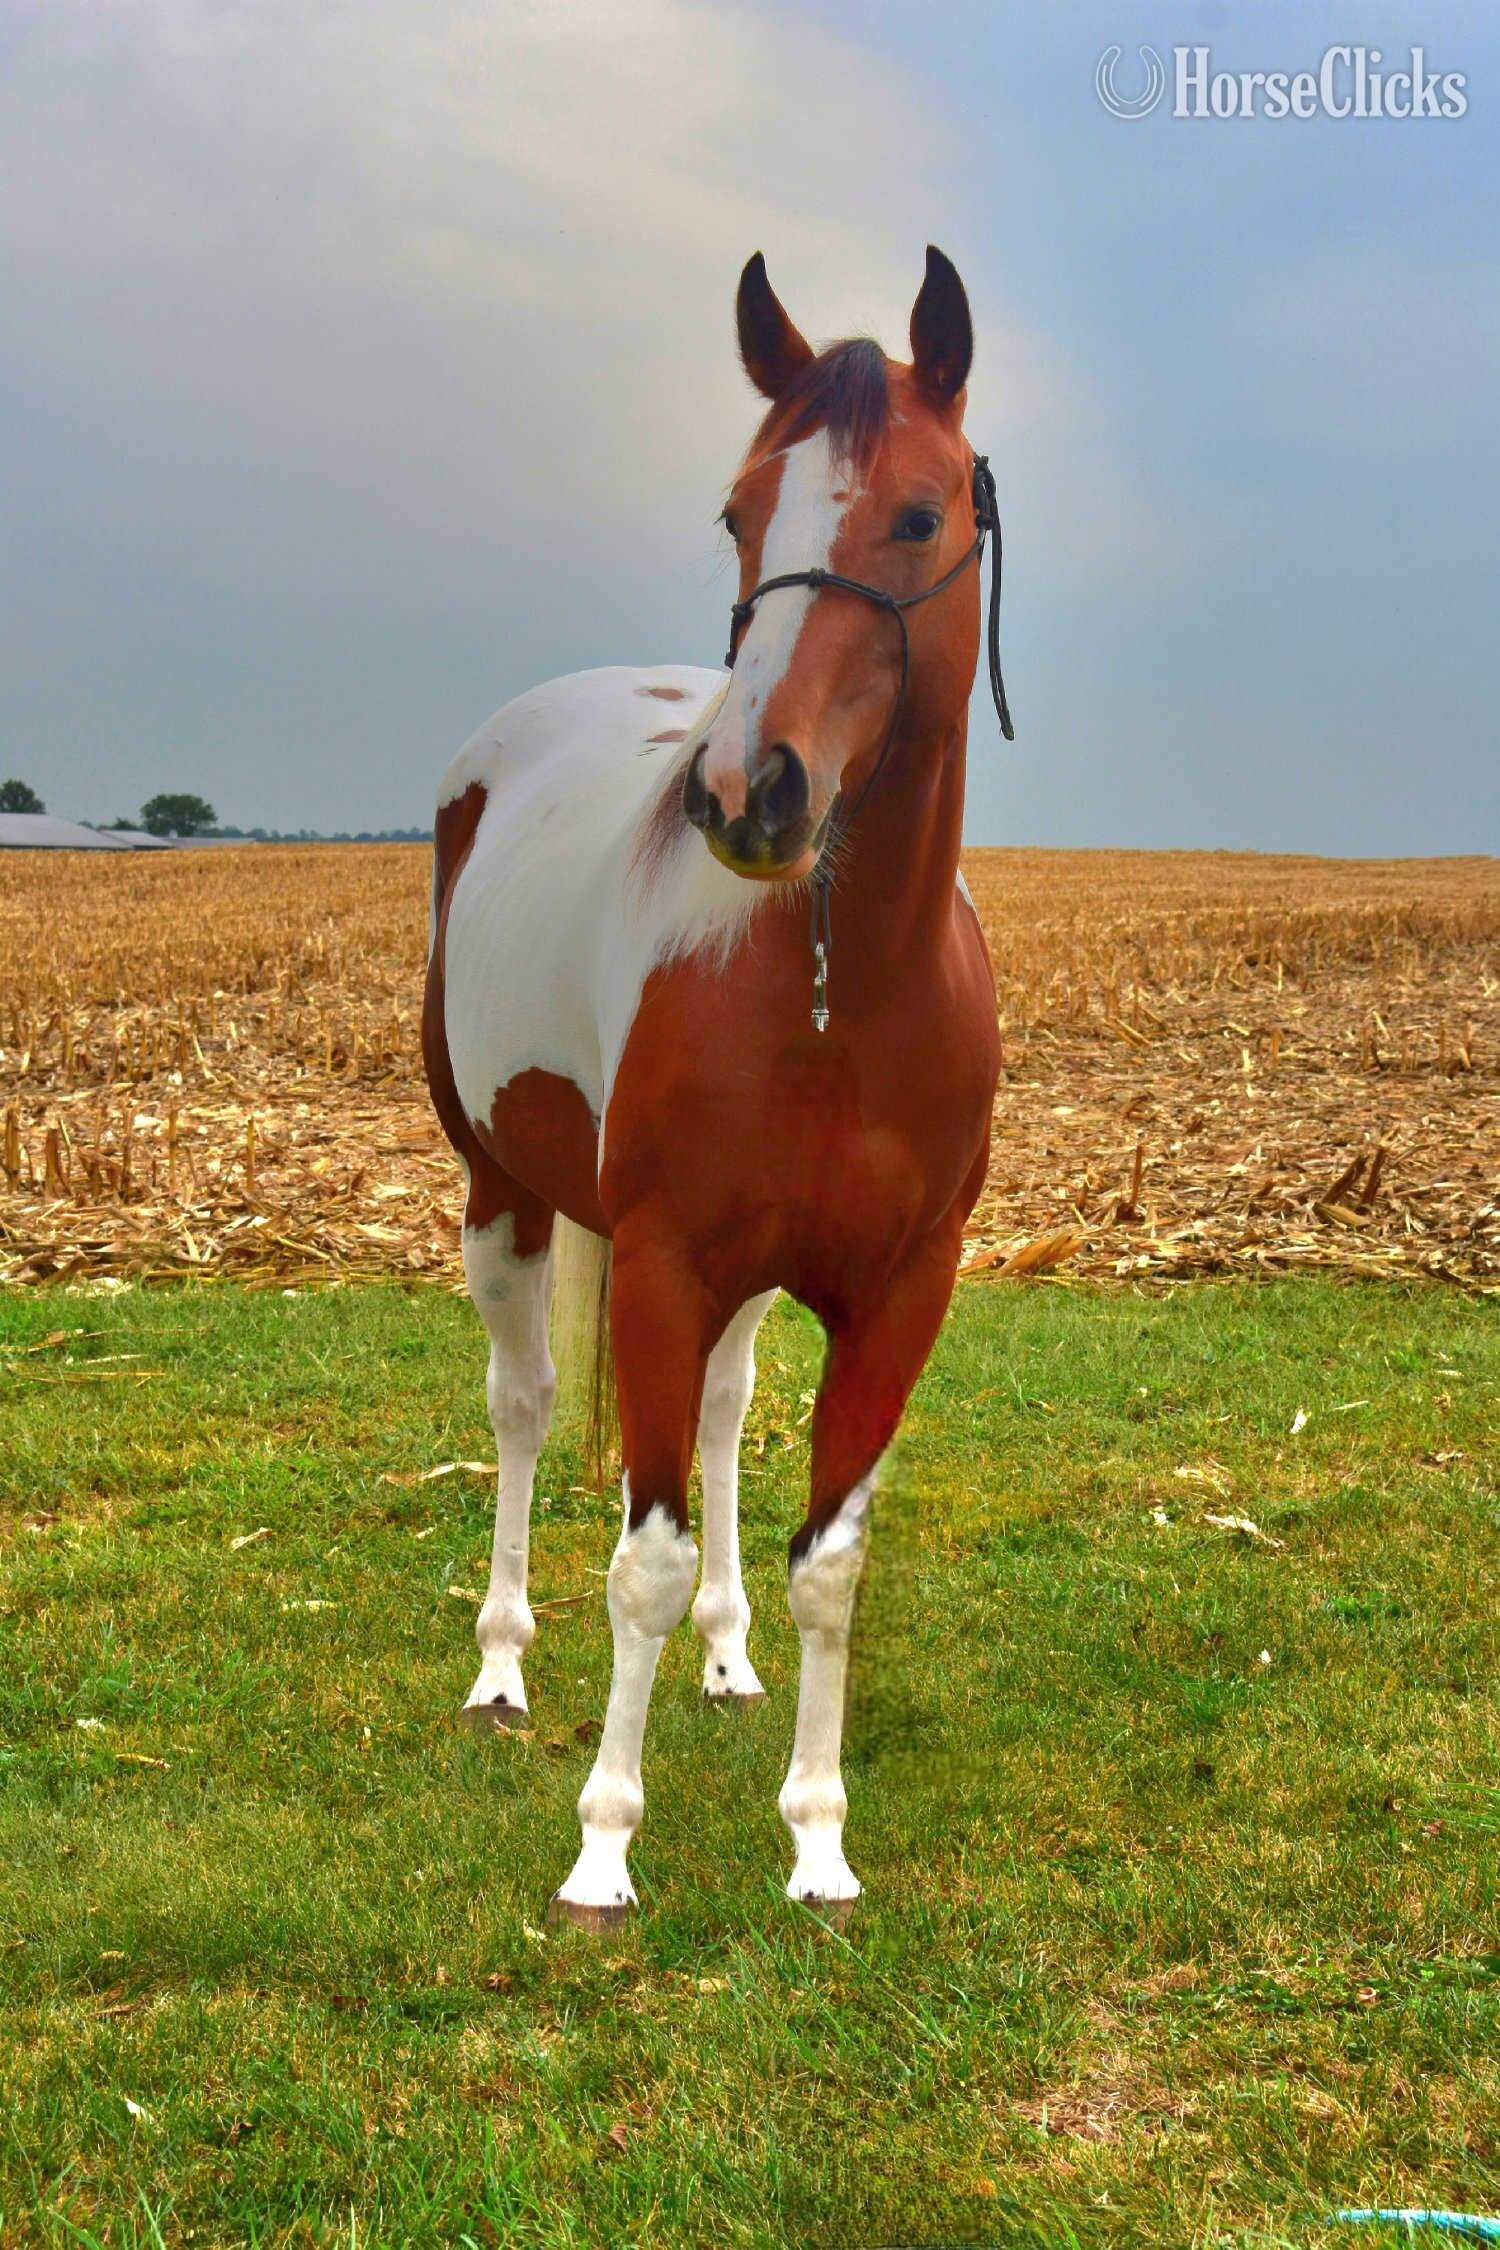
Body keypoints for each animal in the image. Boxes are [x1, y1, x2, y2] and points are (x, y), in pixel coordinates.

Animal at [423, 245, 1012, 1929]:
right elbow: (642, 1559)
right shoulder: (666, 1261)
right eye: (741, 512)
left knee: (732, 1417)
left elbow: (829, 1559)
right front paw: (602, 1844)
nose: (752, 793)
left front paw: (816, 1838)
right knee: (521, 1405)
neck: (835, 984)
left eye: (922, 514)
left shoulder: (896, 1290)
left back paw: (733, 1658)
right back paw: (500, 1671)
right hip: (504, 1195)